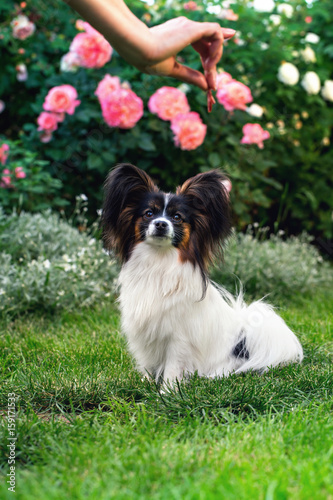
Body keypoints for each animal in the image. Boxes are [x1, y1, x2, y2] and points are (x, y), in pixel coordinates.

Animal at [102, 164, 302, 382]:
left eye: (177, 217)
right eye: (148, 214)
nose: (161, 224)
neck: (159, 261)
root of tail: (243, 334)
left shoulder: (179, 337)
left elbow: (173, 367)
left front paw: (167, 389)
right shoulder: (144, 333)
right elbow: (147, 364)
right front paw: (145, 384)